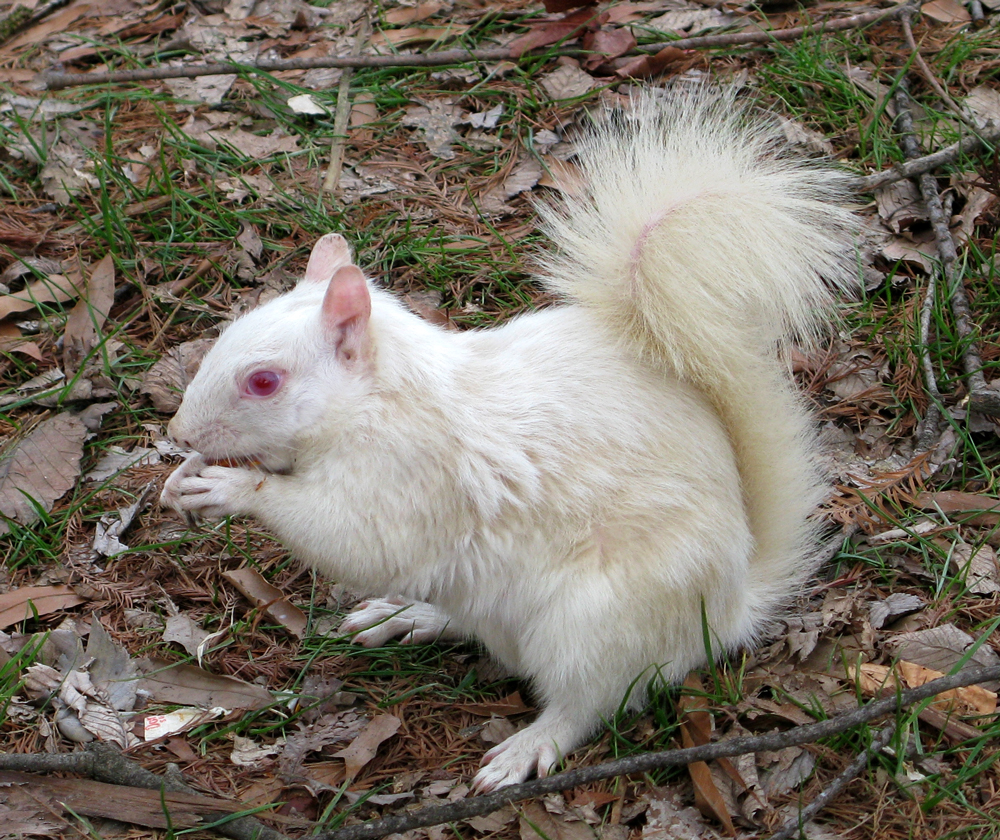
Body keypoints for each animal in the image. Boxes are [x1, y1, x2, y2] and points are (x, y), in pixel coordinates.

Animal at [161, 86, 857, 792]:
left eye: (264, 381)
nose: (176, 430)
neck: (378, 402)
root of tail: (725, 607)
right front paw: (177, 480)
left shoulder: (414, 477)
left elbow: (356, 538)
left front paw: (229, 488)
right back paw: (408, 615)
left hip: (597, 624)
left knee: (592, 702)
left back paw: (528, 746)